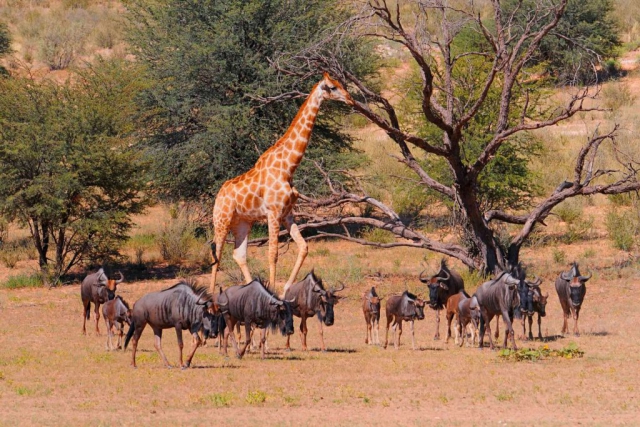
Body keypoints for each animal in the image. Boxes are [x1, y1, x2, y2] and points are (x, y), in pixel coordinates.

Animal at [209, 72, 352, 298]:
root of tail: (219, 194)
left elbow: (303, 247)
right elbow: (273, 254)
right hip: (221, 220)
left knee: (238, 254)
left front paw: (284, 292)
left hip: (242, 222)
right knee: (217, 254)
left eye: (341, 84)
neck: (288, 167)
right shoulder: (273, 212)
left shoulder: (287, 213)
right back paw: (209, 297)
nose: (350, 99)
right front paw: (274, 293)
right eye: (332, 87)